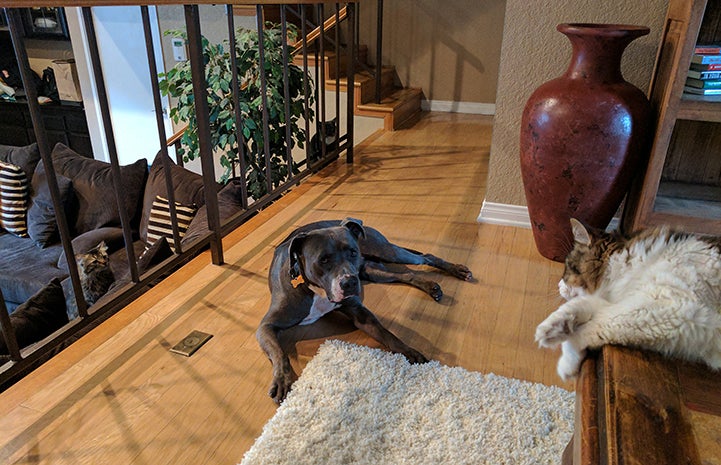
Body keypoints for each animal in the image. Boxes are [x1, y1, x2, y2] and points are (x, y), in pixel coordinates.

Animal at [255, 218, 472, 402]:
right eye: (323, 260)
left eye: (352, 252)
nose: (349, 282)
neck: (315, 289)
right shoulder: (266, 326)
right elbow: (279, 352)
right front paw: (282, 380)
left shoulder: (360, 314)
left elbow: (388, 333)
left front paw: (409, 351)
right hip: (373, 271)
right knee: (406, 274)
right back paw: (430, 287)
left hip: (387, 253)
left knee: (425, 257)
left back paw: (456, 270)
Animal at [532, 219, 720, 378]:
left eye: (568, 267)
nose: (558, 285)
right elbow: (586, 306)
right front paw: (556, 327)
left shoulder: (673, 307)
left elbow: (592, 327)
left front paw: (566, 365)